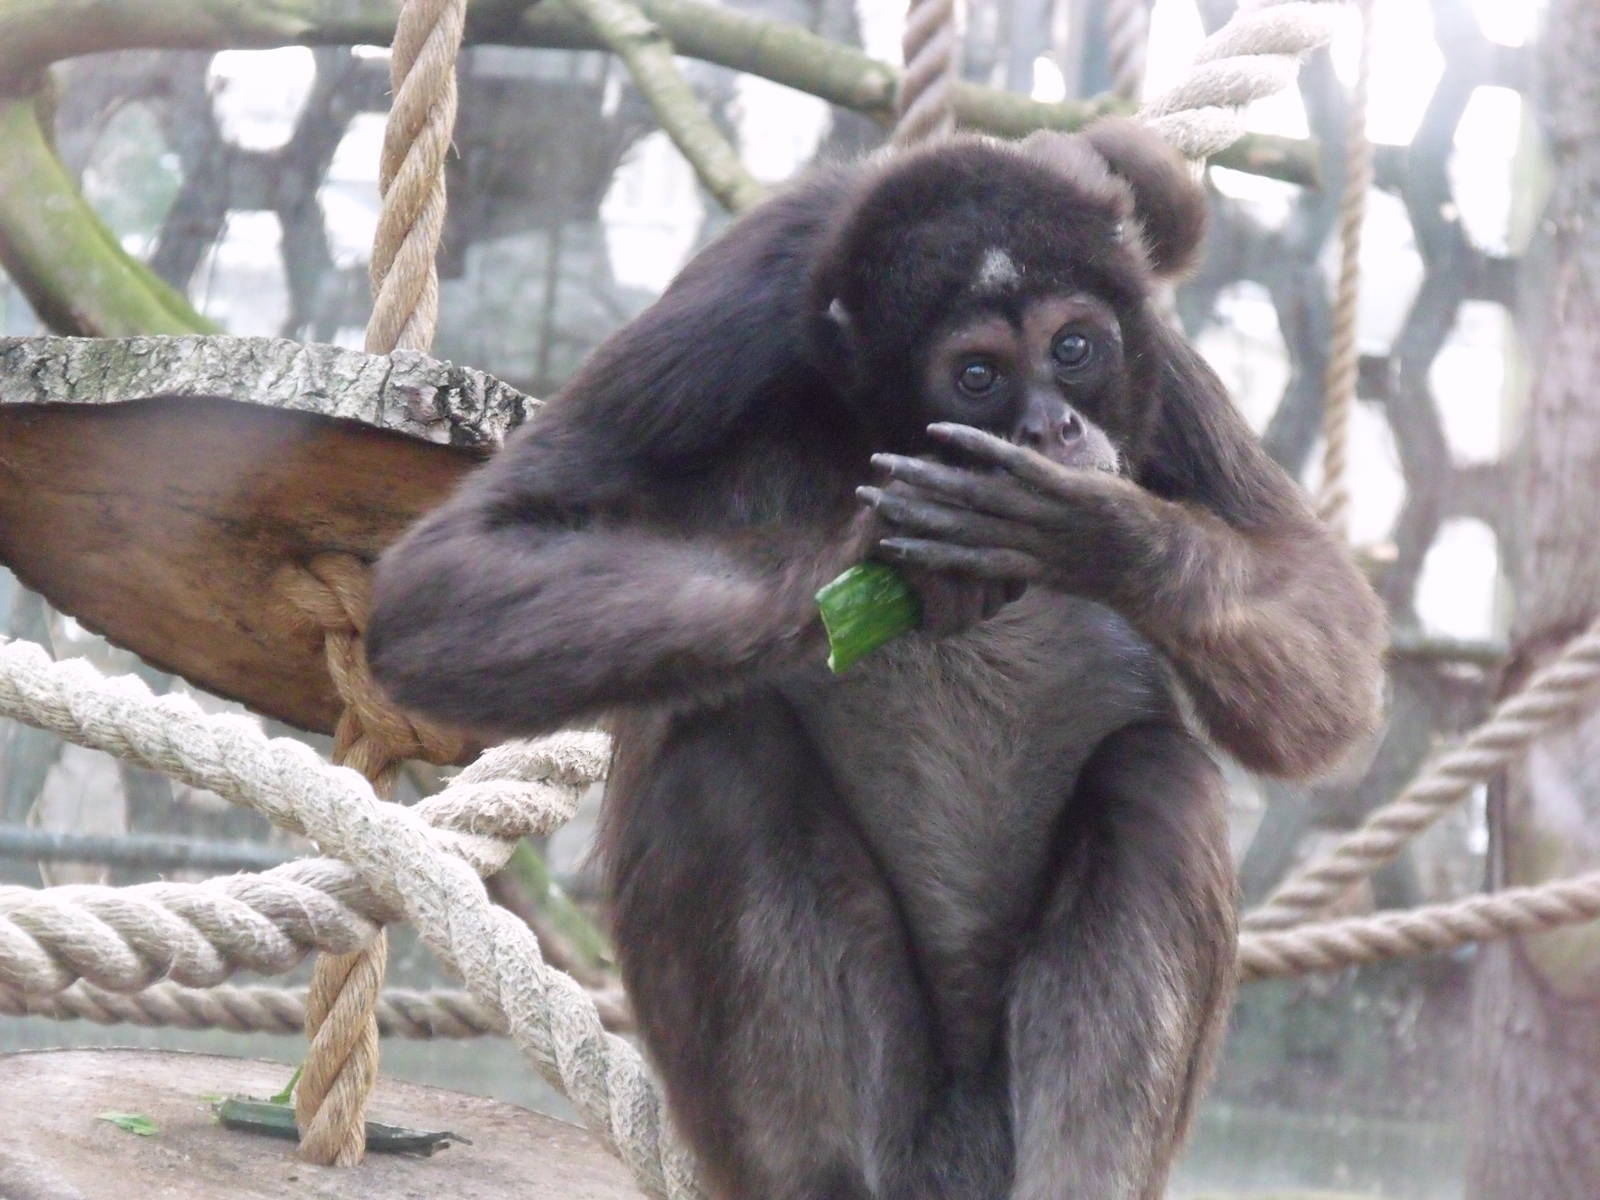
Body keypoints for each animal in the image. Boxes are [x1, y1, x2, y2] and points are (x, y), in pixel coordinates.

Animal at [366, 119, 1386, 1199]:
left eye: (1073, 348)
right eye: (977, 374)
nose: (1052, 427)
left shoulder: (1151, 357)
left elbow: (1324, 639)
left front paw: (1096, 530)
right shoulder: (753, 293)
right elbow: (443, 582)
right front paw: (881, 557)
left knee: (1155, 777)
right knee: (724, 749)